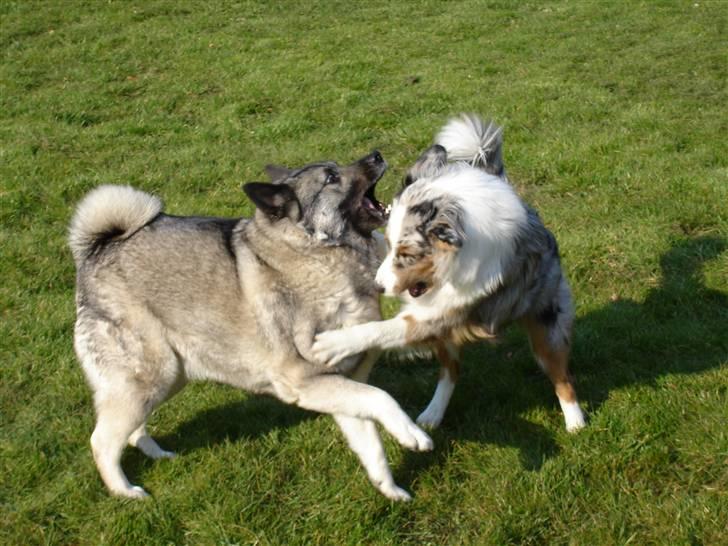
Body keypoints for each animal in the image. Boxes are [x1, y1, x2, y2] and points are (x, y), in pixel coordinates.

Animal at [69, 151, 432, 500]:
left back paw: (157, 454)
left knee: (131, 433)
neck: (315, 255)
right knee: (102, 442)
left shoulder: (340, 385)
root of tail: (96, 253)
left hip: (166, 378)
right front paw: (413, 434)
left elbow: (371, 442)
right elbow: (381, 398)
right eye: (331, 177)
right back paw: (125, 492)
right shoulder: (305, 381)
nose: (376, 155)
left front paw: (391, 490)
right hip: (148, 378)